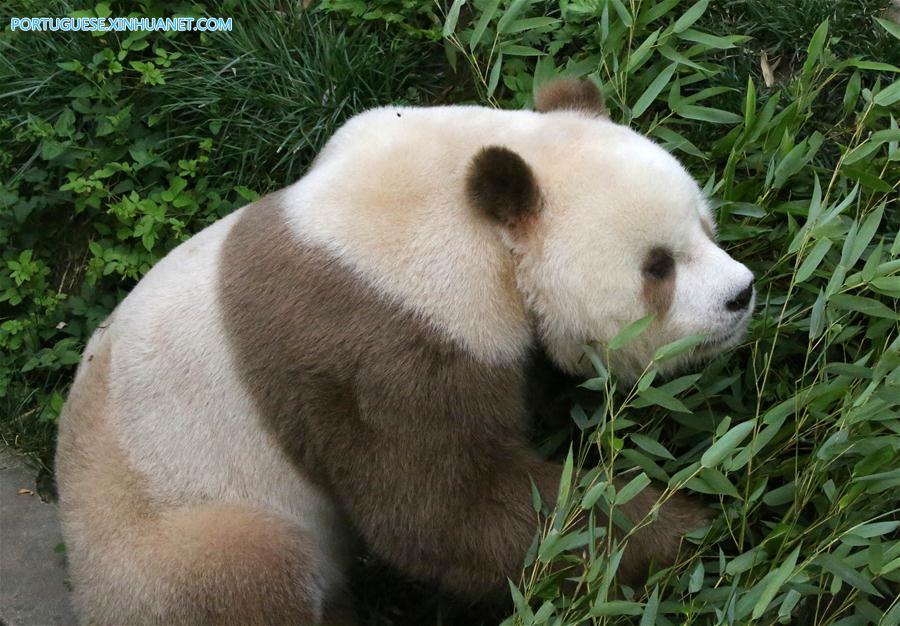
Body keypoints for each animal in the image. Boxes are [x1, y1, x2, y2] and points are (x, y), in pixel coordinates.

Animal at [55, 79, 755, 625]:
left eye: (705, 225)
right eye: (657, 267)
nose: (740, 296)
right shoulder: (388, 334)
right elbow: (447, 511)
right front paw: (692, 526)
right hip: (166, 536)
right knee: (251, 569)